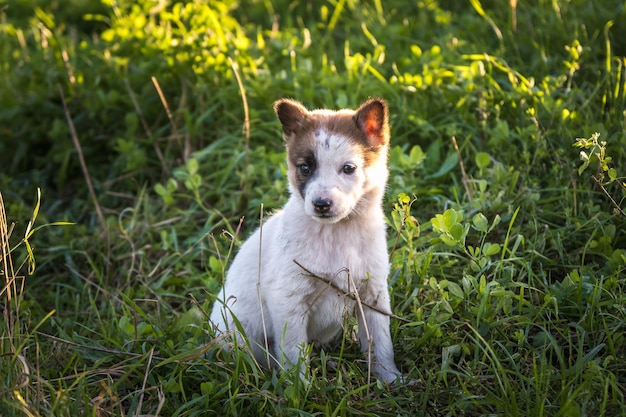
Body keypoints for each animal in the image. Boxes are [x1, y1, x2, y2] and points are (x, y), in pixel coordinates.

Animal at [211, 98, 400, 384]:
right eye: (305, 168)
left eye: (348, 168)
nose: (321, 204)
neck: (336, 235)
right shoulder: (289, 301)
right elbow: (293, 352)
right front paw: (298, 388)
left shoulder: (373, 294)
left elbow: (380, 343)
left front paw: (391, 380)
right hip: (238, 335)